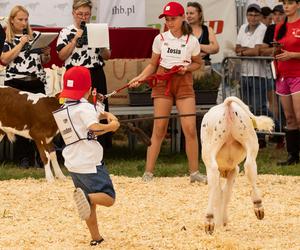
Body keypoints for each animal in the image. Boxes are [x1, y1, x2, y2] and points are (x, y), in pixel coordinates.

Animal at [199, 95, 274, 234]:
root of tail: (227, 105)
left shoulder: (233, 170)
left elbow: (221, 195)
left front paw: (220, 222)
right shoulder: (234, 170)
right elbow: (226, 193)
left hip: (209, 150)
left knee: (213, 175)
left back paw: (209, 220)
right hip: (250, 139)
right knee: (249, 166)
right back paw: (258, 206)